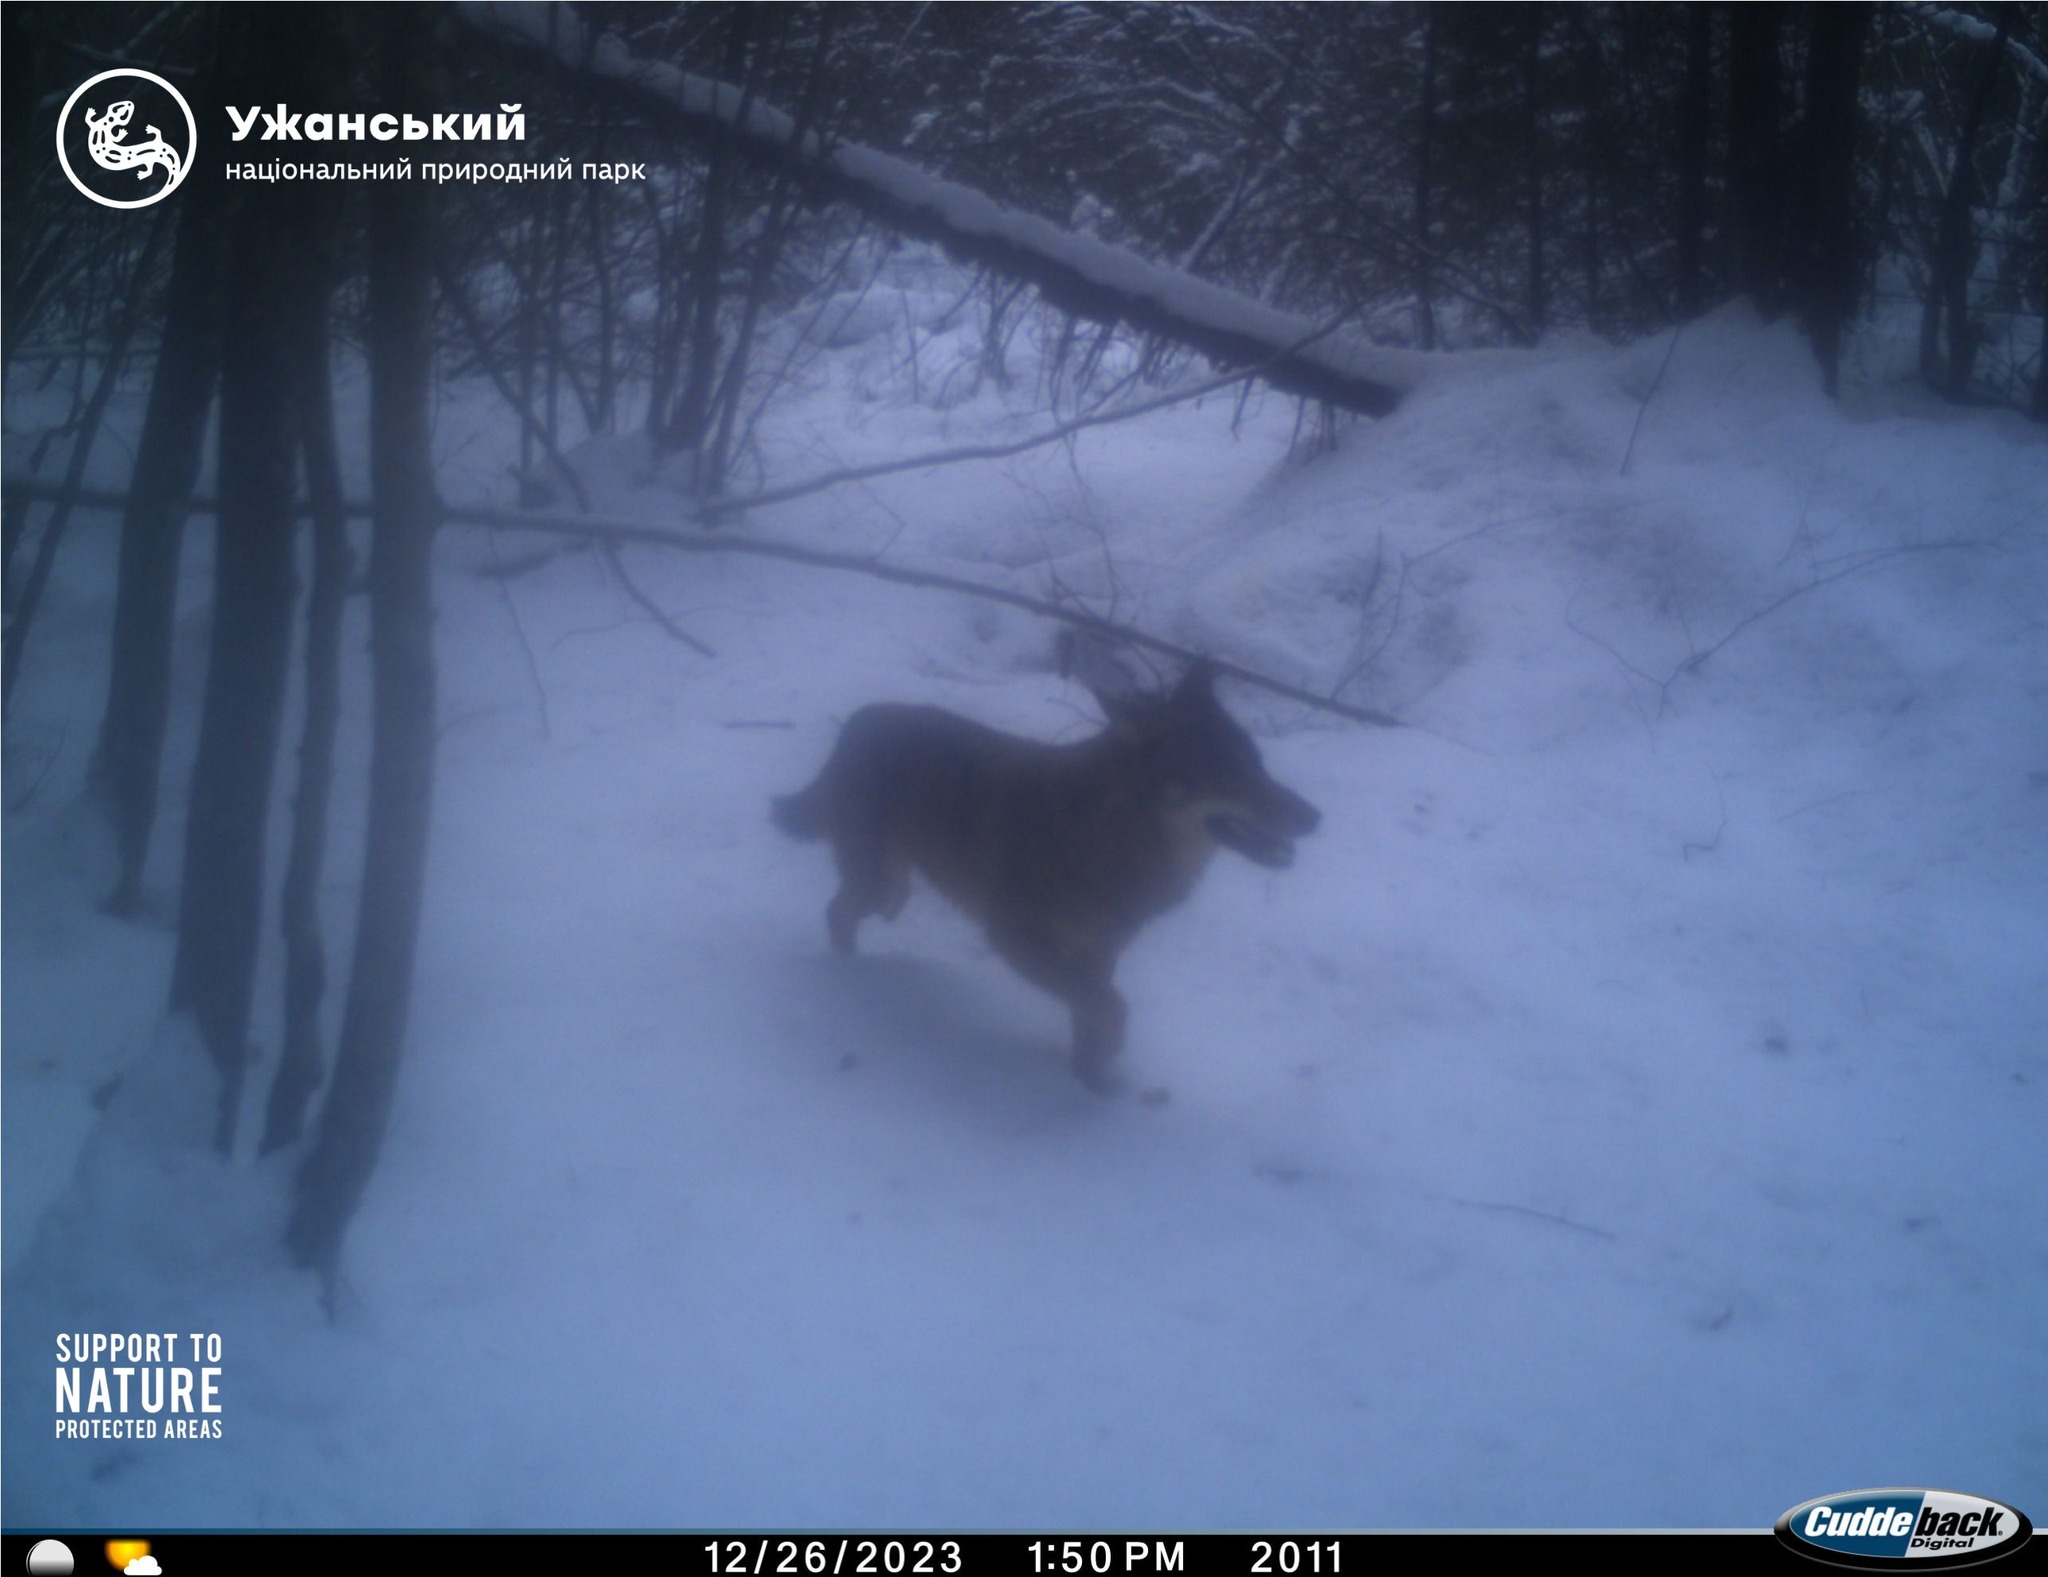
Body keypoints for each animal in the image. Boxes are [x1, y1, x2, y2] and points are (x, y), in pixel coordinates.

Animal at [770, 655, 1327, 1089]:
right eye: (1228, 774)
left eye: (1259, 764)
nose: (1316, 817)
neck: (1113, 836)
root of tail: (862, 717)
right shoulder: (1017, 941)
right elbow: (1110, 1006)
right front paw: (1108, 1060)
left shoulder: (1099, 951)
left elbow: (1091, 1009)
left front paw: (1092, 1080)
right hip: (872, 878)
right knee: (839, 911)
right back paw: (850, 974)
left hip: (890, 871)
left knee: (880, 898)